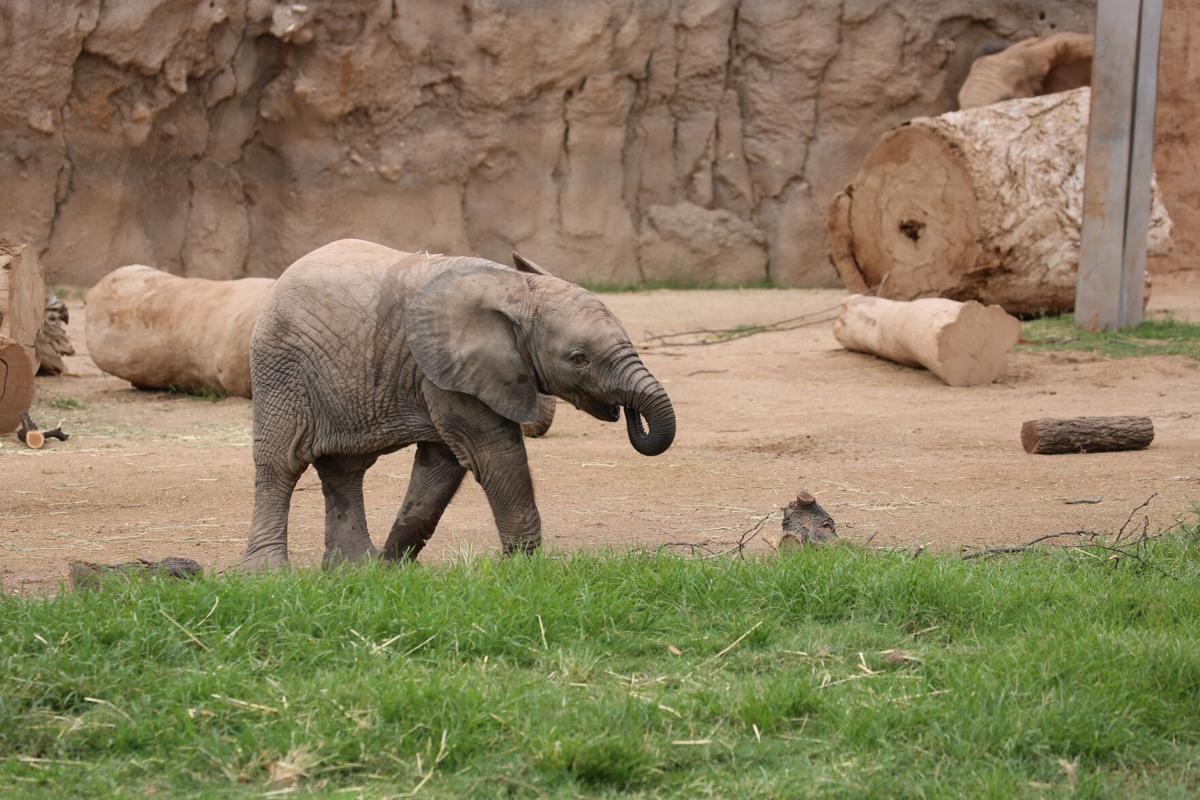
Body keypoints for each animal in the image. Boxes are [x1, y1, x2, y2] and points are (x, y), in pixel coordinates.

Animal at [240, 239, 675, 569]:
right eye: (579, 358)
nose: (626, 412)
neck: (516, 288)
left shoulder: (447, 374)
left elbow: (441, 466)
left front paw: (388, 571)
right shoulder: (445, 371)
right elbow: (493, 453)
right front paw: (527, 570)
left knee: (345, 470)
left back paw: (353, 570)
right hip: (281, 368)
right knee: (282, 463)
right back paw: (269, 574)